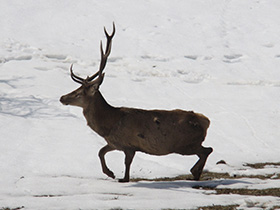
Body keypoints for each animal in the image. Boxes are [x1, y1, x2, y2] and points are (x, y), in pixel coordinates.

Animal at [59, 23, 212, 182]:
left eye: (79, 93)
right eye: (76, 89)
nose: (62, 97)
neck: (109, 125)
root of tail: (206, 121)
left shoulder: (129, 146)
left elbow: (126, 164)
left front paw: (121, 177)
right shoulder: (114, 143)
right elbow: (100, 152)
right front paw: (110, 173)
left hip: (185, 144)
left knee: (207, 150)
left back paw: (195, 172)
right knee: (206, 150)